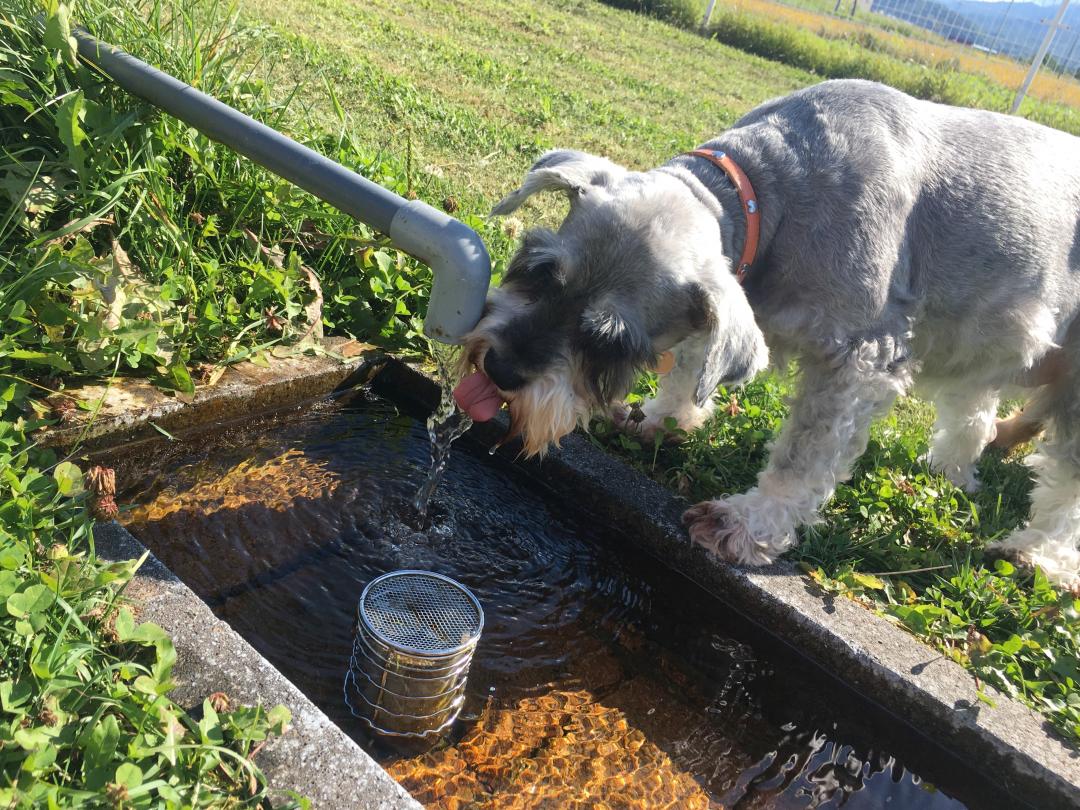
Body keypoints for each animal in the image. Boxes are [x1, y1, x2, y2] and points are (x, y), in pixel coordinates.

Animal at [464, 79, 1080, 591]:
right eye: (539, 271)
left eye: (611, 341)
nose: (500, 370)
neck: (774, 192)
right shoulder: (724, 300)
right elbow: (692, 361)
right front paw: (663, 418)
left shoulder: (857, 358)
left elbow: (803, 458)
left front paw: (748, 521)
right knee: (975, 404)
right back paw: (952, 468)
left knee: (1064, 479)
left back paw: (1035, 555)